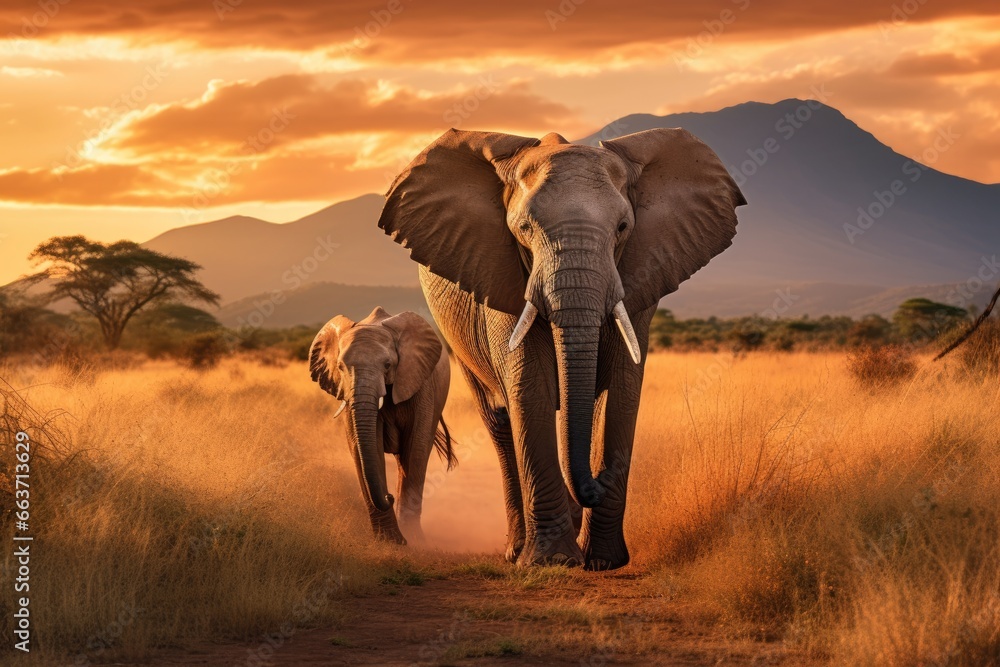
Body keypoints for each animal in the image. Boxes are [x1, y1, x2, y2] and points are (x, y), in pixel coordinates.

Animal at [309, 307, 455, 544]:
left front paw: (413, 540)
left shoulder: (420, 385)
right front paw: (389, 542)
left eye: (387, 365)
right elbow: (361, 449)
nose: (389, 496)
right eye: (340, 366)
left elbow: (416, 448)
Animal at [377, 128, 745, 569]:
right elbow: (529, 386)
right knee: (499, 420)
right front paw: (552, 560)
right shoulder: (501, 279)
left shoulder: (640, 275)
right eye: (523, 228)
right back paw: (516, 550)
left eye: (623, 227)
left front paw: (603, 562)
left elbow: (622, 392)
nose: (592, 488)